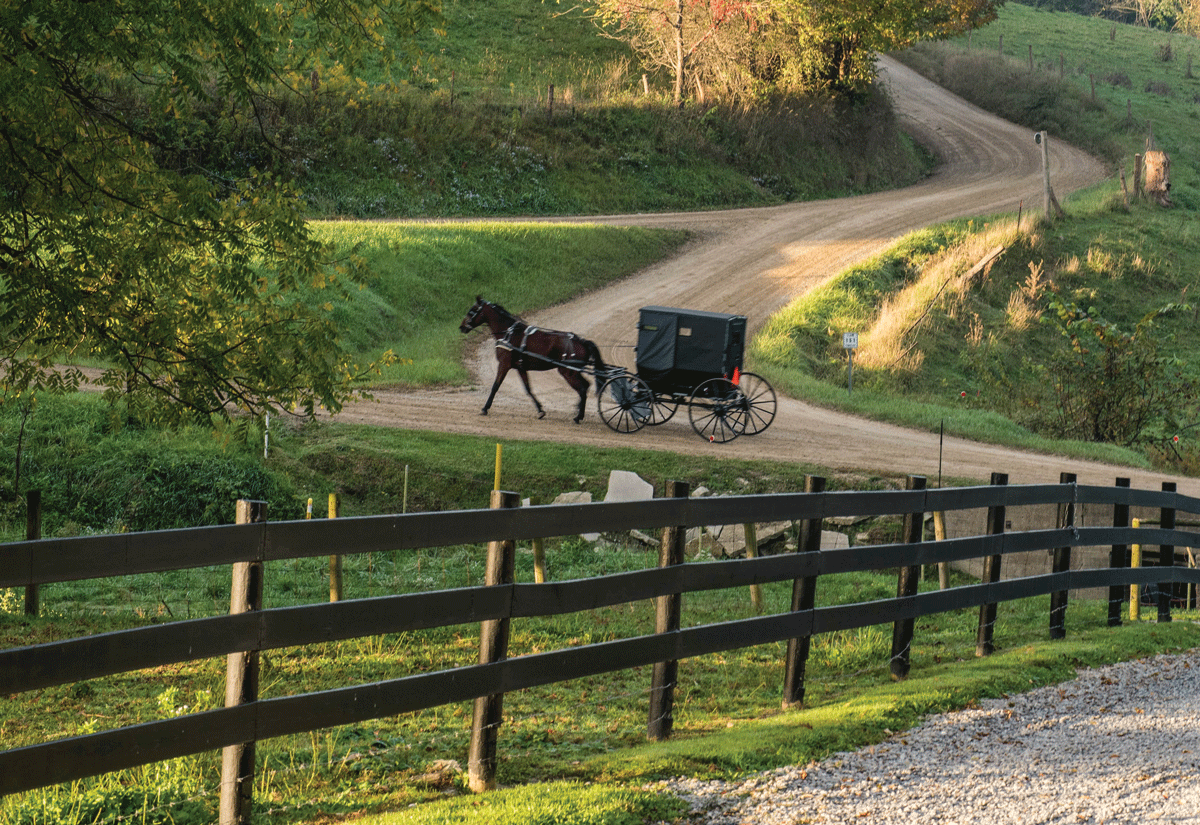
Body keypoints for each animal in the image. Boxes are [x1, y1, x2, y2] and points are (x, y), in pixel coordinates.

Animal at [459, 296, 607, 423]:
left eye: (472, 311)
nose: (461, 327)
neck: (509, 333)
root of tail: (581, 341)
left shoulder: (504, 364)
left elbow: (495, 386)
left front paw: (485, 408)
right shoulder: (520, 368)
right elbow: (528, 389)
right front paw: (540, 410)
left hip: (568, 372)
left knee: (582, 389)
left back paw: (578, 416)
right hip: (573, 372)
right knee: (585, 386)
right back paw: (578, 412)